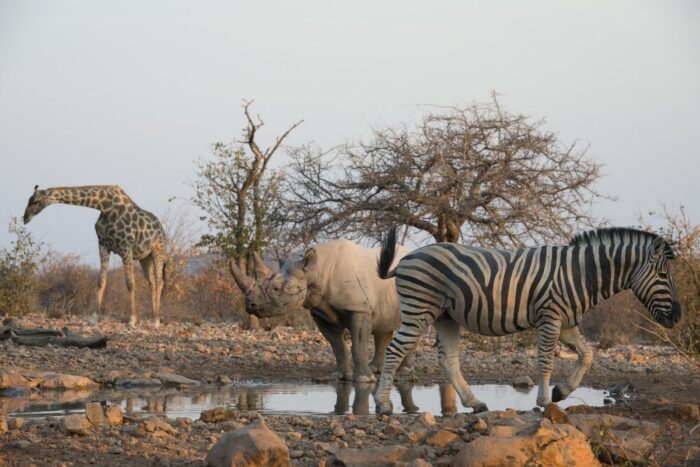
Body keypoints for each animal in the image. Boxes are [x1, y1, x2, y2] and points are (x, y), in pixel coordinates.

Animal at [23, 185, 167, 328]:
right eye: (29, 200)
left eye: (35, 201)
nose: (25, 218)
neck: (105, 206)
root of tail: (162, 231)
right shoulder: (103, 245)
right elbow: (101, 281)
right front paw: (93, 319)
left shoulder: (126, 246)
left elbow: (130, 283)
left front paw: (131, 320)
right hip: (145, 258)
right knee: (152, 283)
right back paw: (153, 318)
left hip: (158, 251)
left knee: (159, 282)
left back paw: (156, 321)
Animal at [374, 227, 680, 414]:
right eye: (664, 276)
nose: (677, 316)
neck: (581, 274)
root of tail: (406, 259)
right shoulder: (550, 316)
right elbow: (546, 360)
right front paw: (544, 401)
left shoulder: (566, 323)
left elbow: (588, 355)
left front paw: (561, 392)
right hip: (419, 309)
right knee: (394, 351)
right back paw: (383, 405)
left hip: (446, 317)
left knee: (447, 360)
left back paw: (475, 403)